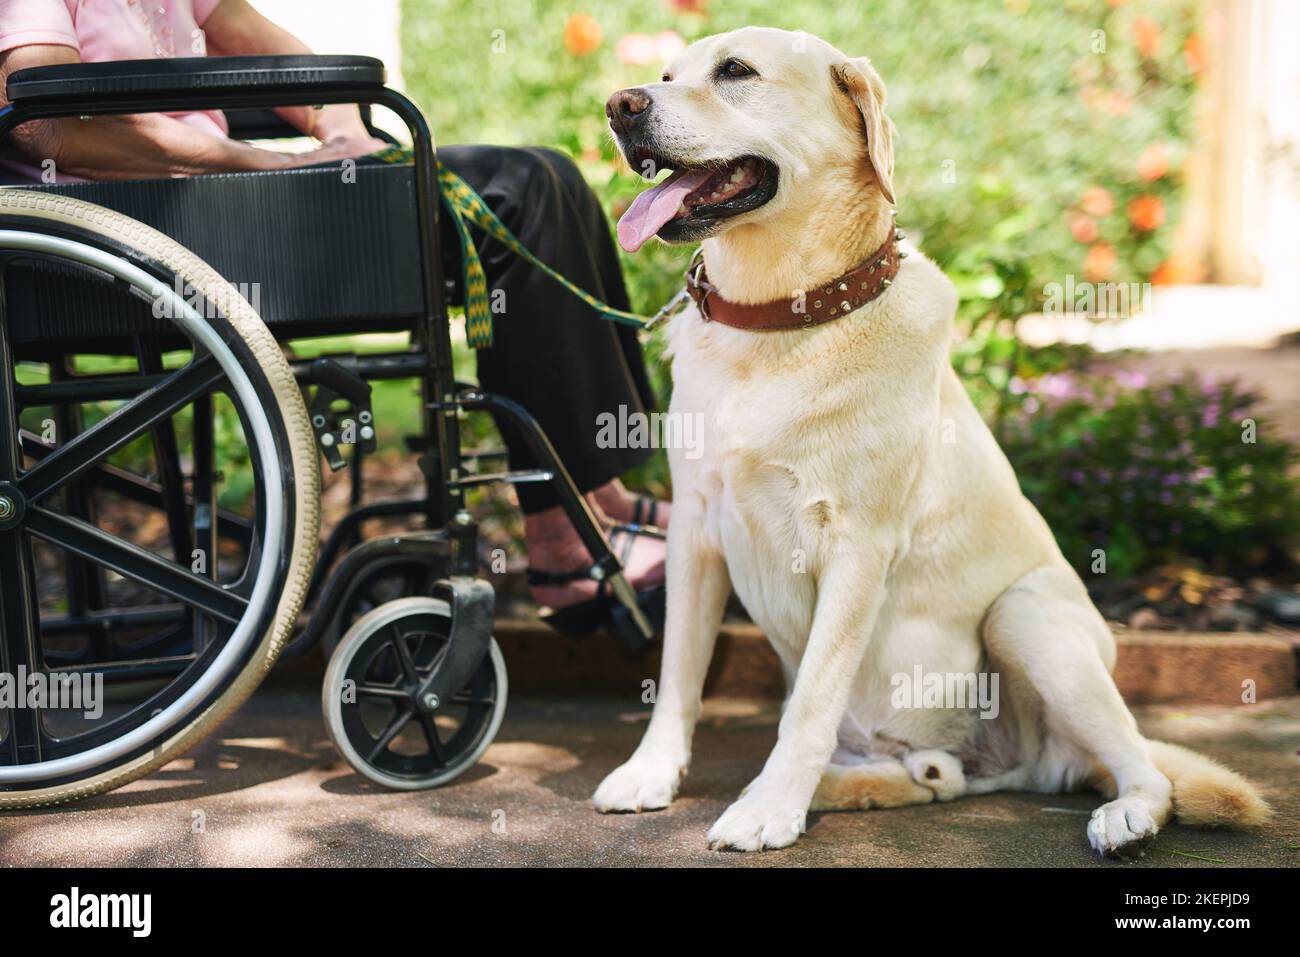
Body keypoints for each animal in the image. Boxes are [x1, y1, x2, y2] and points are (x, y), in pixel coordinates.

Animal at [592, 27, 1268, 852]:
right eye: (664, 74)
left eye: (735, 71)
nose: (620, 106)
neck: (781, 320)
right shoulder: (694, 530)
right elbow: (679, 676)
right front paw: (653, 773)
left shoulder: (857, 546)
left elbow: (810, 700)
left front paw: (768, 809)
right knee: (934, 779)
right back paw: (860, 784)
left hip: (1025, 617)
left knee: (1144, 766)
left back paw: (1127, 813)